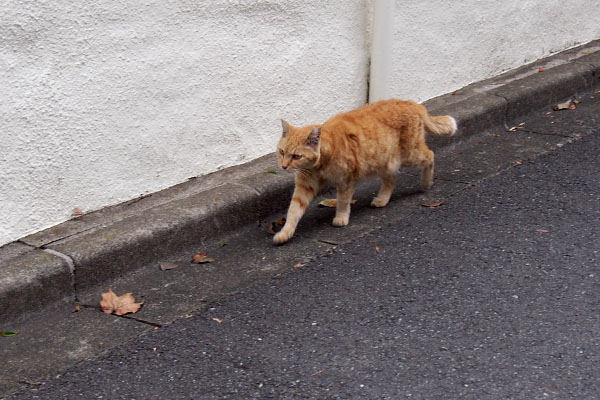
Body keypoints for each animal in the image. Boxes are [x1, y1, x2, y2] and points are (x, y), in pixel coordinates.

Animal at [274, 99, 458, 244]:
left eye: (296, 156)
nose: (284, 166)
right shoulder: (305, 186)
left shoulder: (345, 180)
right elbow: (293, 211)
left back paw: (426, 183)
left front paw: (341, 217)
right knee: (391, 180)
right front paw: (285, 233)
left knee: (430, 155)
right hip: (385, 162)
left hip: (411, 155)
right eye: (282, 152)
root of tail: (412, 103)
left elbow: (343, 201)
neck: (320, 163)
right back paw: (382, 199)